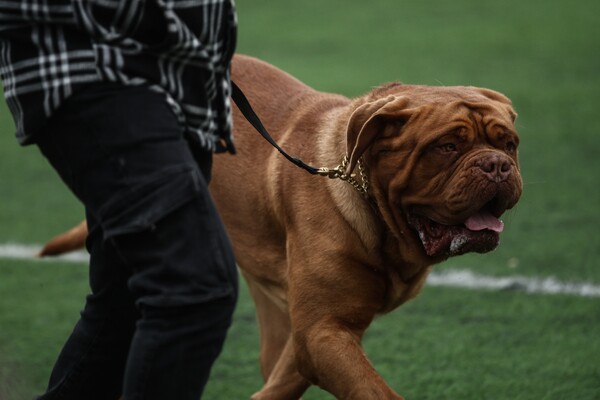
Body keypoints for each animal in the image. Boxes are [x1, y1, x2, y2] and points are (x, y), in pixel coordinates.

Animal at [41, 54, 520, 398]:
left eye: (509, 143)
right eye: (447, 146)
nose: (497, 166)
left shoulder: (311, 333)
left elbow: (286, 383)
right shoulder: (321, 331)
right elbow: (373, 391)